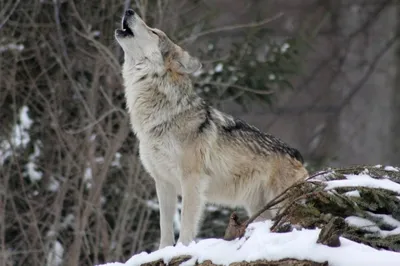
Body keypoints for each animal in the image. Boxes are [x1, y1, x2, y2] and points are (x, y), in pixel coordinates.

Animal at [114, 8, 308, 249]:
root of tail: (297, 155)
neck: (161, 117)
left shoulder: (192, 179)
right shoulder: (163, 182)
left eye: (154, 31)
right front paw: (164, 251)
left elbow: (186, 223)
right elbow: (165, 227)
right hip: (259, 209)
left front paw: (183, 248)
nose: (129, 10)